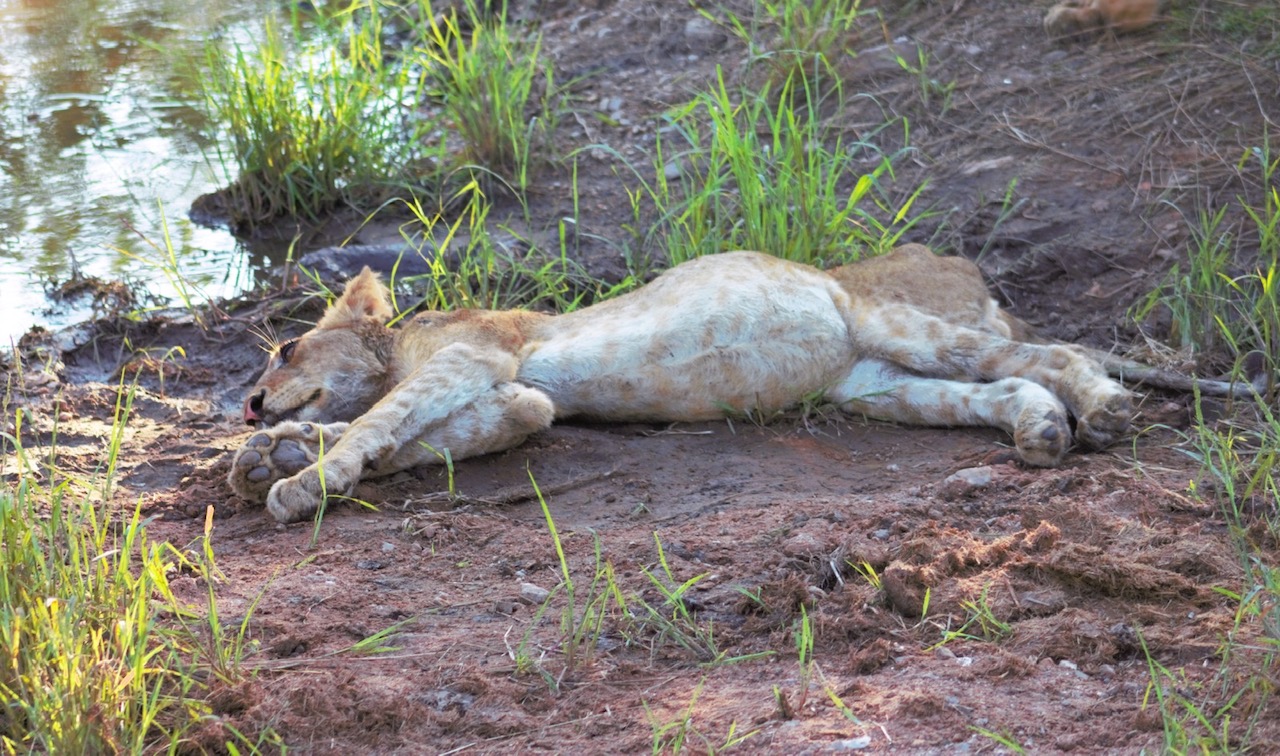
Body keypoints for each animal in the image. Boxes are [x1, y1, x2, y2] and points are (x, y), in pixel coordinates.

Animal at [228, 244, 1257, 523]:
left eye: (283, 352)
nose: (248, 402)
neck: (402, 341)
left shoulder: (476, 356)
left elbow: (386, 422)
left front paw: (300, 478)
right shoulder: (518, 396)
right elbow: (417, 436)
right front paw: (278, 452)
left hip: (897, 323)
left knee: (1051, 355)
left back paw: (1107, 411)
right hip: (876, 386)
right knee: (1004, 391)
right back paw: (1043, 435)